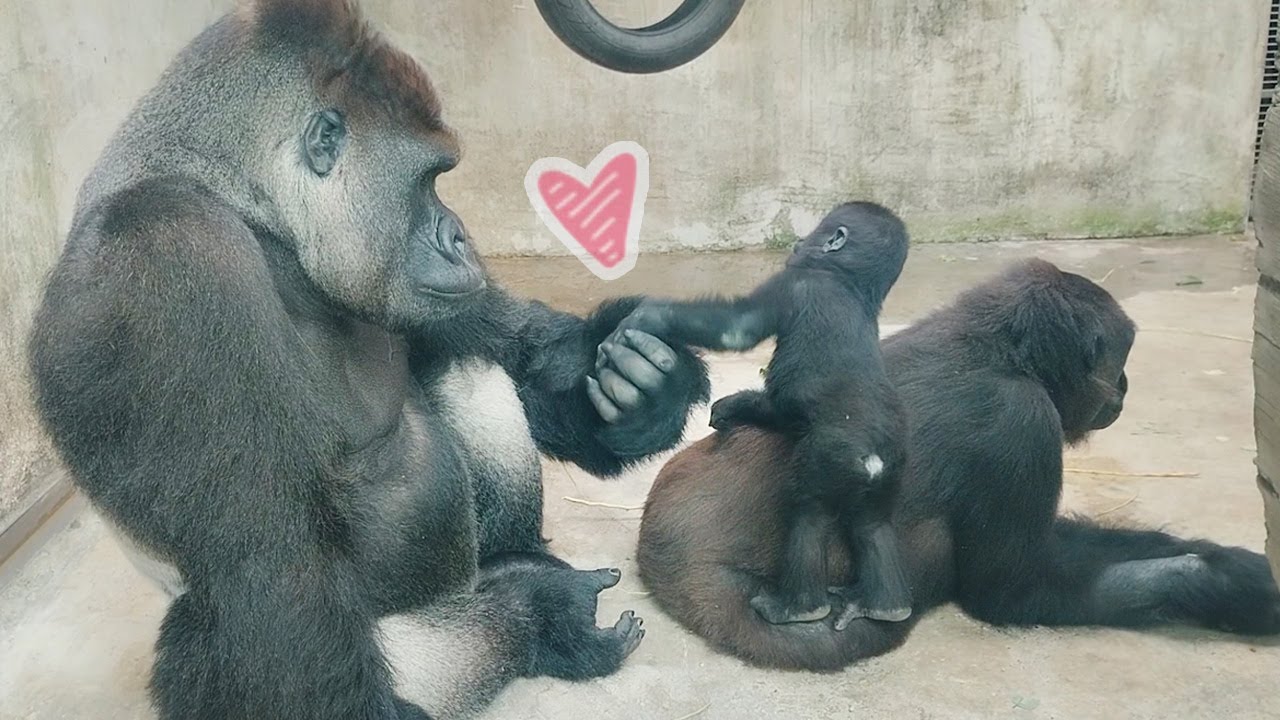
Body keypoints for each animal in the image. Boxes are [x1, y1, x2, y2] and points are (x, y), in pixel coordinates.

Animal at [609, 201, 913, 628]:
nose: (800, 241)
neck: (849, 282)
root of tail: (872, 457)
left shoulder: (792, 284)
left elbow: (738, 327)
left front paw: (651, 317)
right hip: (888, 471)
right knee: (873, 525)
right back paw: (885, 606)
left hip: (831, 460)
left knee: (809, 515)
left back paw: (798, 606)